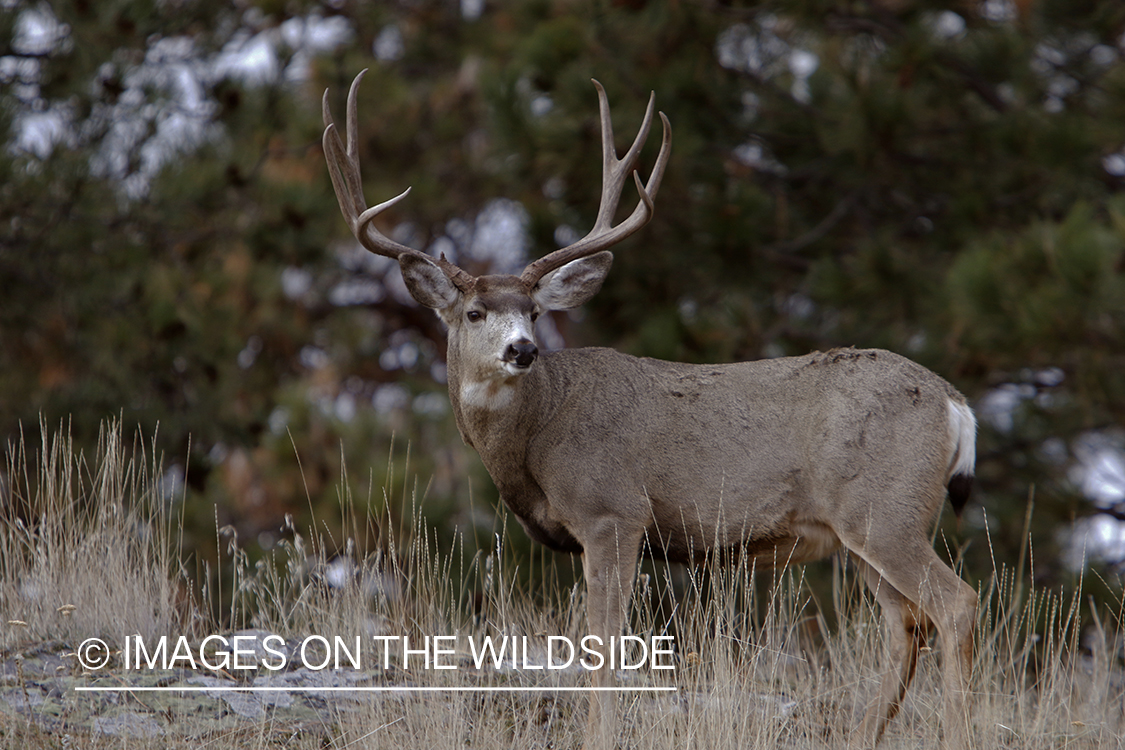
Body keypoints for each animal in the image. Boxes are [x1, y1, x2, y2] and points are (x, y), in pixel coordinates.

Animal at [319, 68, 976, 746]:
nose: (523, 349)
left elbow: (602, 646)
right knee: (907, 624)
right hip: (866, 525)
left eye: (534, 311)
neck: (538, 436)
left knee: (956, 604)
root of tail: (955, 404)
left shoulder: (613, 510)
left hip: (884, 508)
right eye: (475, 313)